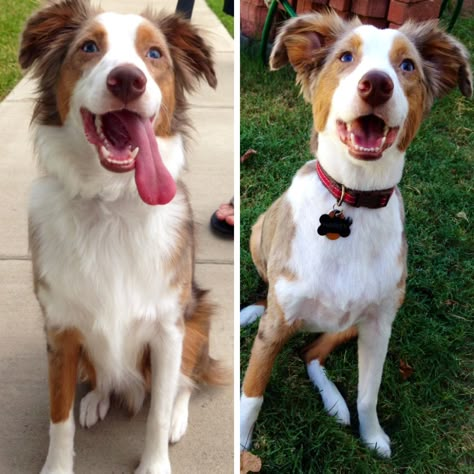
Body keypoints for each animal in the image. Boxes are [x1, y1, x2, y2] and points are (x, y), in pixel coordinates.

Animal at [19, 0, 224, 474]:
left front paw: (155, 462)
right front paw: (57, 465)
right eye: (88, 47)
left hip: (197, 319)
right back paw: (96, 398)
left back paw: (178, 418)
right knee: (102, 377)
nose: (128, 79)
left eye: (154, 54)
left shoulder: (168, 328)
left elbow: (159, 410)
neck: (110, 202)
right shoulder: (61, 331)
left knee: (186, 382)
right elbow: (59, 418)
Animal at [241, 12, 470, 460]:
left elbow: (368, 393)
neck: (354, 200)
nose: (377, 84)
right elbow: (252, 391)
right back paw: (250, 311)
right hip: (259, 234)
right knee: (275, 309)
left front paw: (372, 434)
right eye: (346, 57)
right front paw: (240, 445)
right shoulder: (276, 324)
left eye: (407, 65)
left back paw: (335, 404)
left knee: (310, 352)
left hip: (357, 321)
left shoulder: (380, 325)